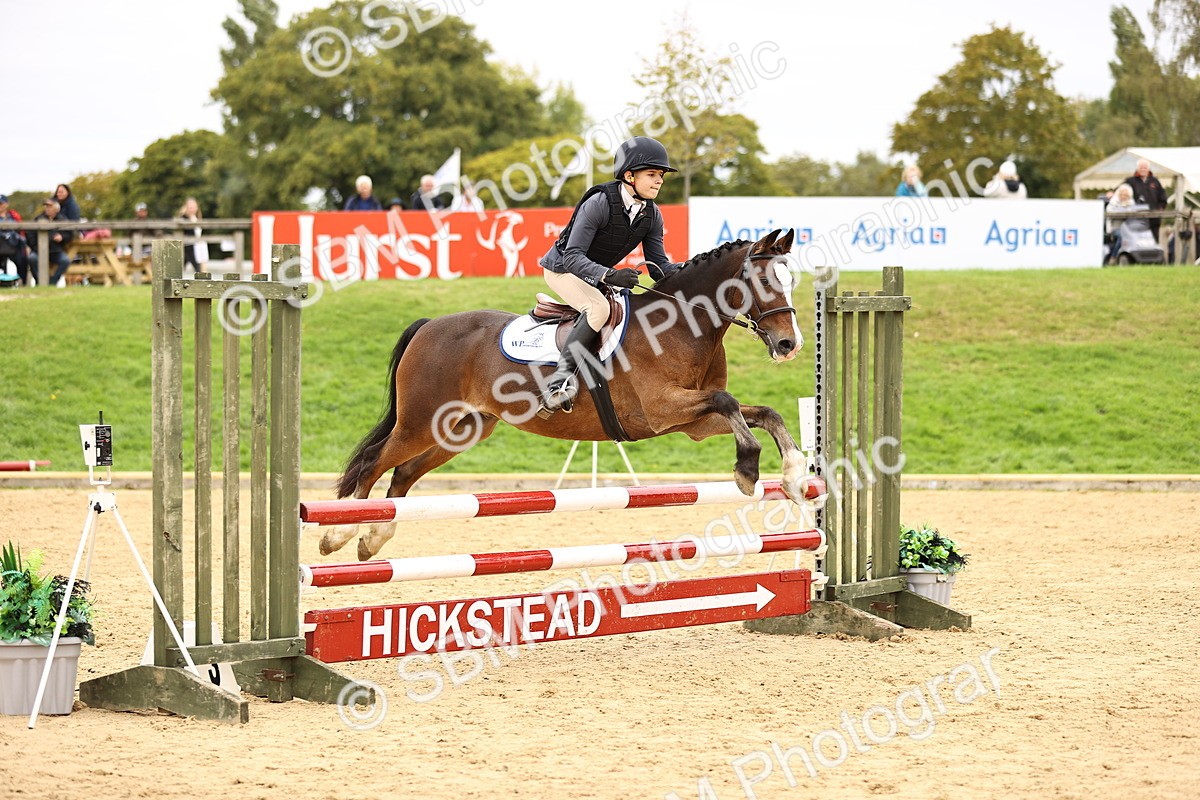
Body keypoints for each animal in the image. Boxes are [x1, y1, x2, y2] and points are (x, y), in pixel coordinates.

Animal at [320, 228, 810, 560]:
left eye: (790, 281)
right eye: (765, 282)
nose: (790, 345)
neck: (682, 326)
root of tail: (429, 326)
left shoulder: (693, 423)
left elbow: (762, 412)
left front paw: (794, 475)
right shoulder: (663, 409)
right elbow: (733, 406)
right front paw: (748, 469)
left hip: (463, 429)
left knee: (403, 474)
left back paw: (372, 540)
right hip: (420, 422)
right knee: (373, 464)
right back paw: (337, 536)